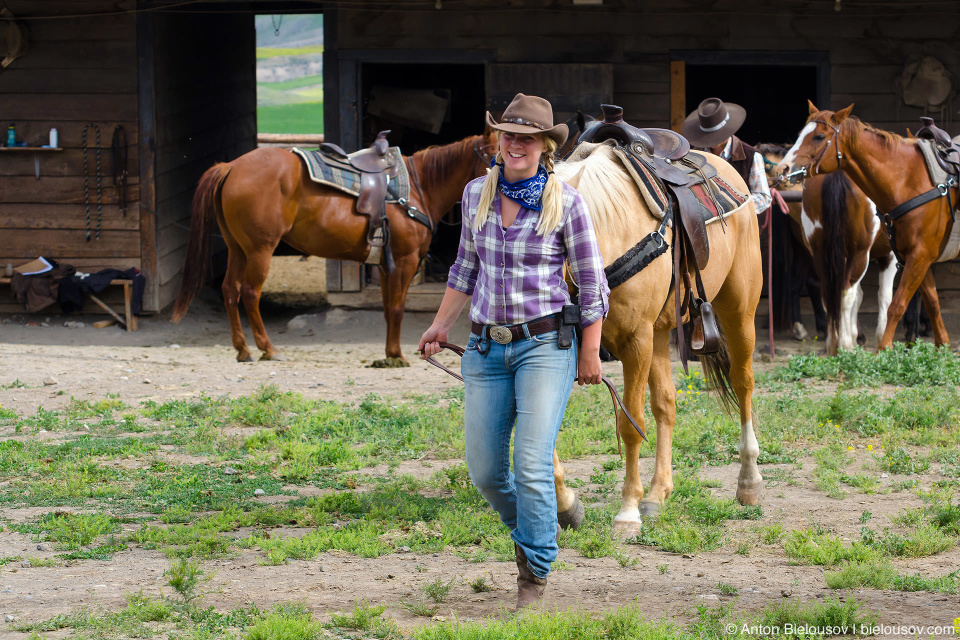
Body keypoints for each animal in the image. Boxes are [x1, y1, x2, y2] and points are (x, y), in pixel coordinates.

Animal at [172, 132, 496, 368]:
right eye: (495, 155)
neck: (418, 188)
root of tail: (231, 167)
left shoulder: (384, 265)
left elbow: (388, 309)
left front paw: (388, 353)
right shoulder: (403, 262)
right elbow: (397, 308)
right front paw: (396, 355)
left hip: (236, 248)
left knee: (229, 290)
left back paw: (242, 349)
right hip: (259, 249)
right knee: (250, 293)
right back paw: (268, 348)